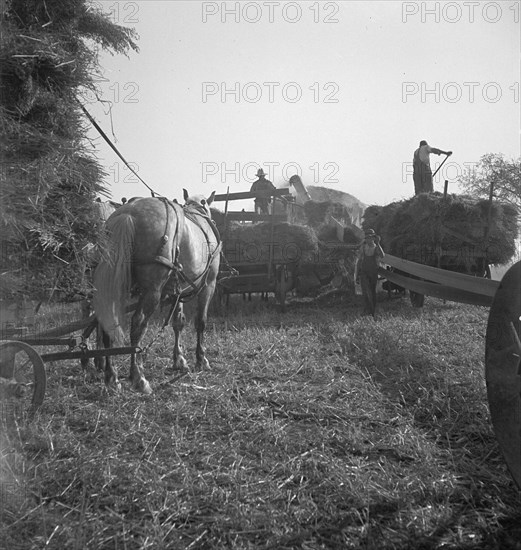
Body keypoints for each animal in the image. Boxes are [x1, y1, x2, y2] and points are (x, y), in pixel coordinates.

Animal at [93, 192, 219, 394]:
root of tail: (128, 214)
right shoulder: (209, 284)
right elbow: (201, 322)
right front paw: (201, 359)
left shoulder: (178, 289)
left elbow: (178, 322)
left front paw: (179, 359)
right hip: (152, 291)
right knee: (138, 324)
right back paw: (138, 377)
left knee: (106, 324)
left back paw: (111, 377)